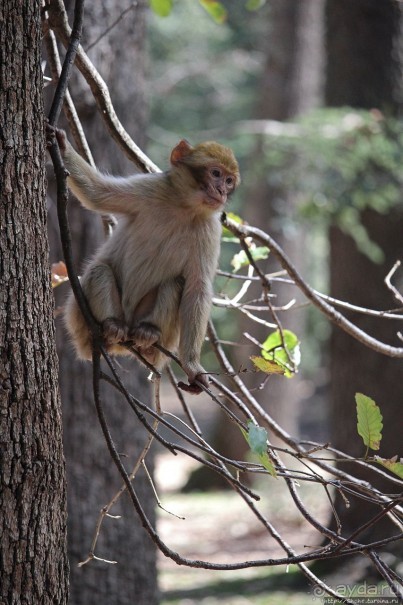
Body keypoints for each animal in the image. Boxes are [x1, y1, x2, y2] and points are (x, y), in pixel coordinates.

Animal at [54, 129, 241, 392]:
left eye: (229, 181)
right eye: (216, 174)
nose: (222, 192)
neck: (184, 208)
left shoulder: (210, 229)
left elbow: (197, 288)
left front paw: (192, 365)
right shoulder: (150, 188)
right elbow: (97, 193)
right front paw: (62, 146)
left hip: (161, 334)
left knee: (176, 284)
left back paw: (148, 334)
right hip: (78, 317)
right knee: (100, 270)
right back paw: (110, 326)